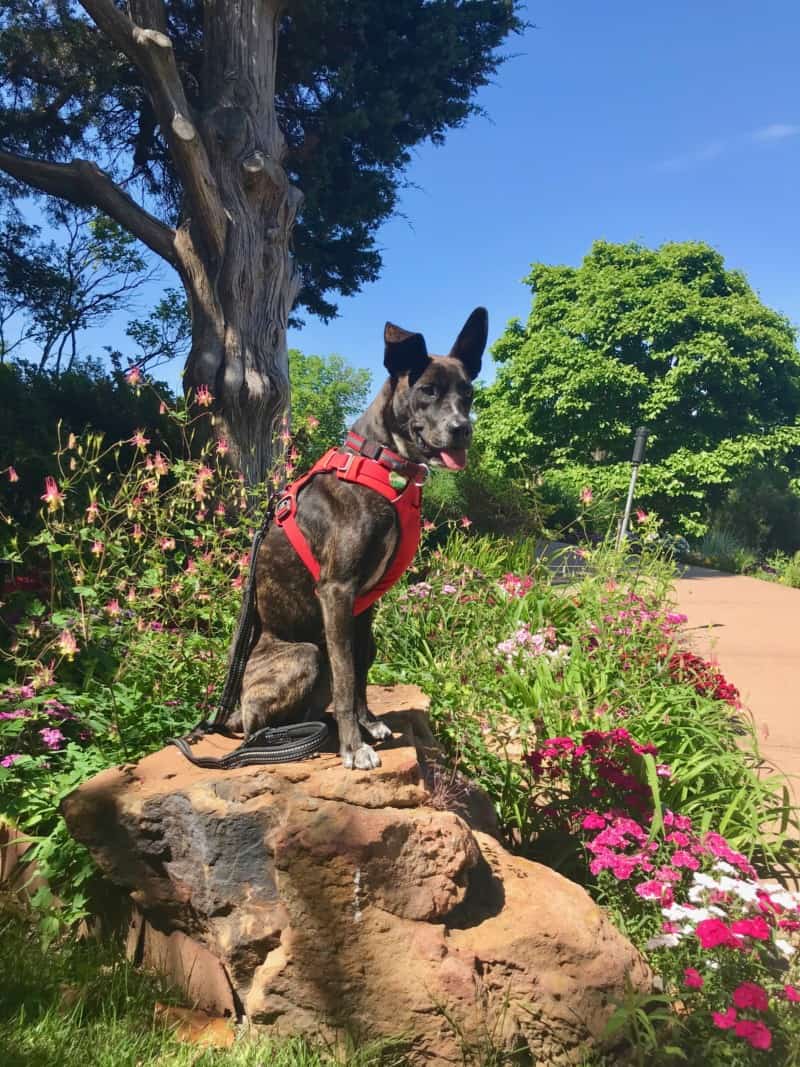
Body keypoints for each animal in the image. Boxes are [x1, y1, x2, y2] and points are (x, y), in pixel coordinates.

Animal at [233, 307, 488, 768]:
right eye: (427, 390)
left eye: (468, 393)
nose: (462, 428)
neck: (384, 464)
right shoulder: (337, 591)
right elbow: (345, 675)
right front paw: (354, 748)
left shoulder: (364, 604)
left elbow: (362, 666)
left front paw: (368, 723)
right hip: (304, 653)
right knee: (256, 729)